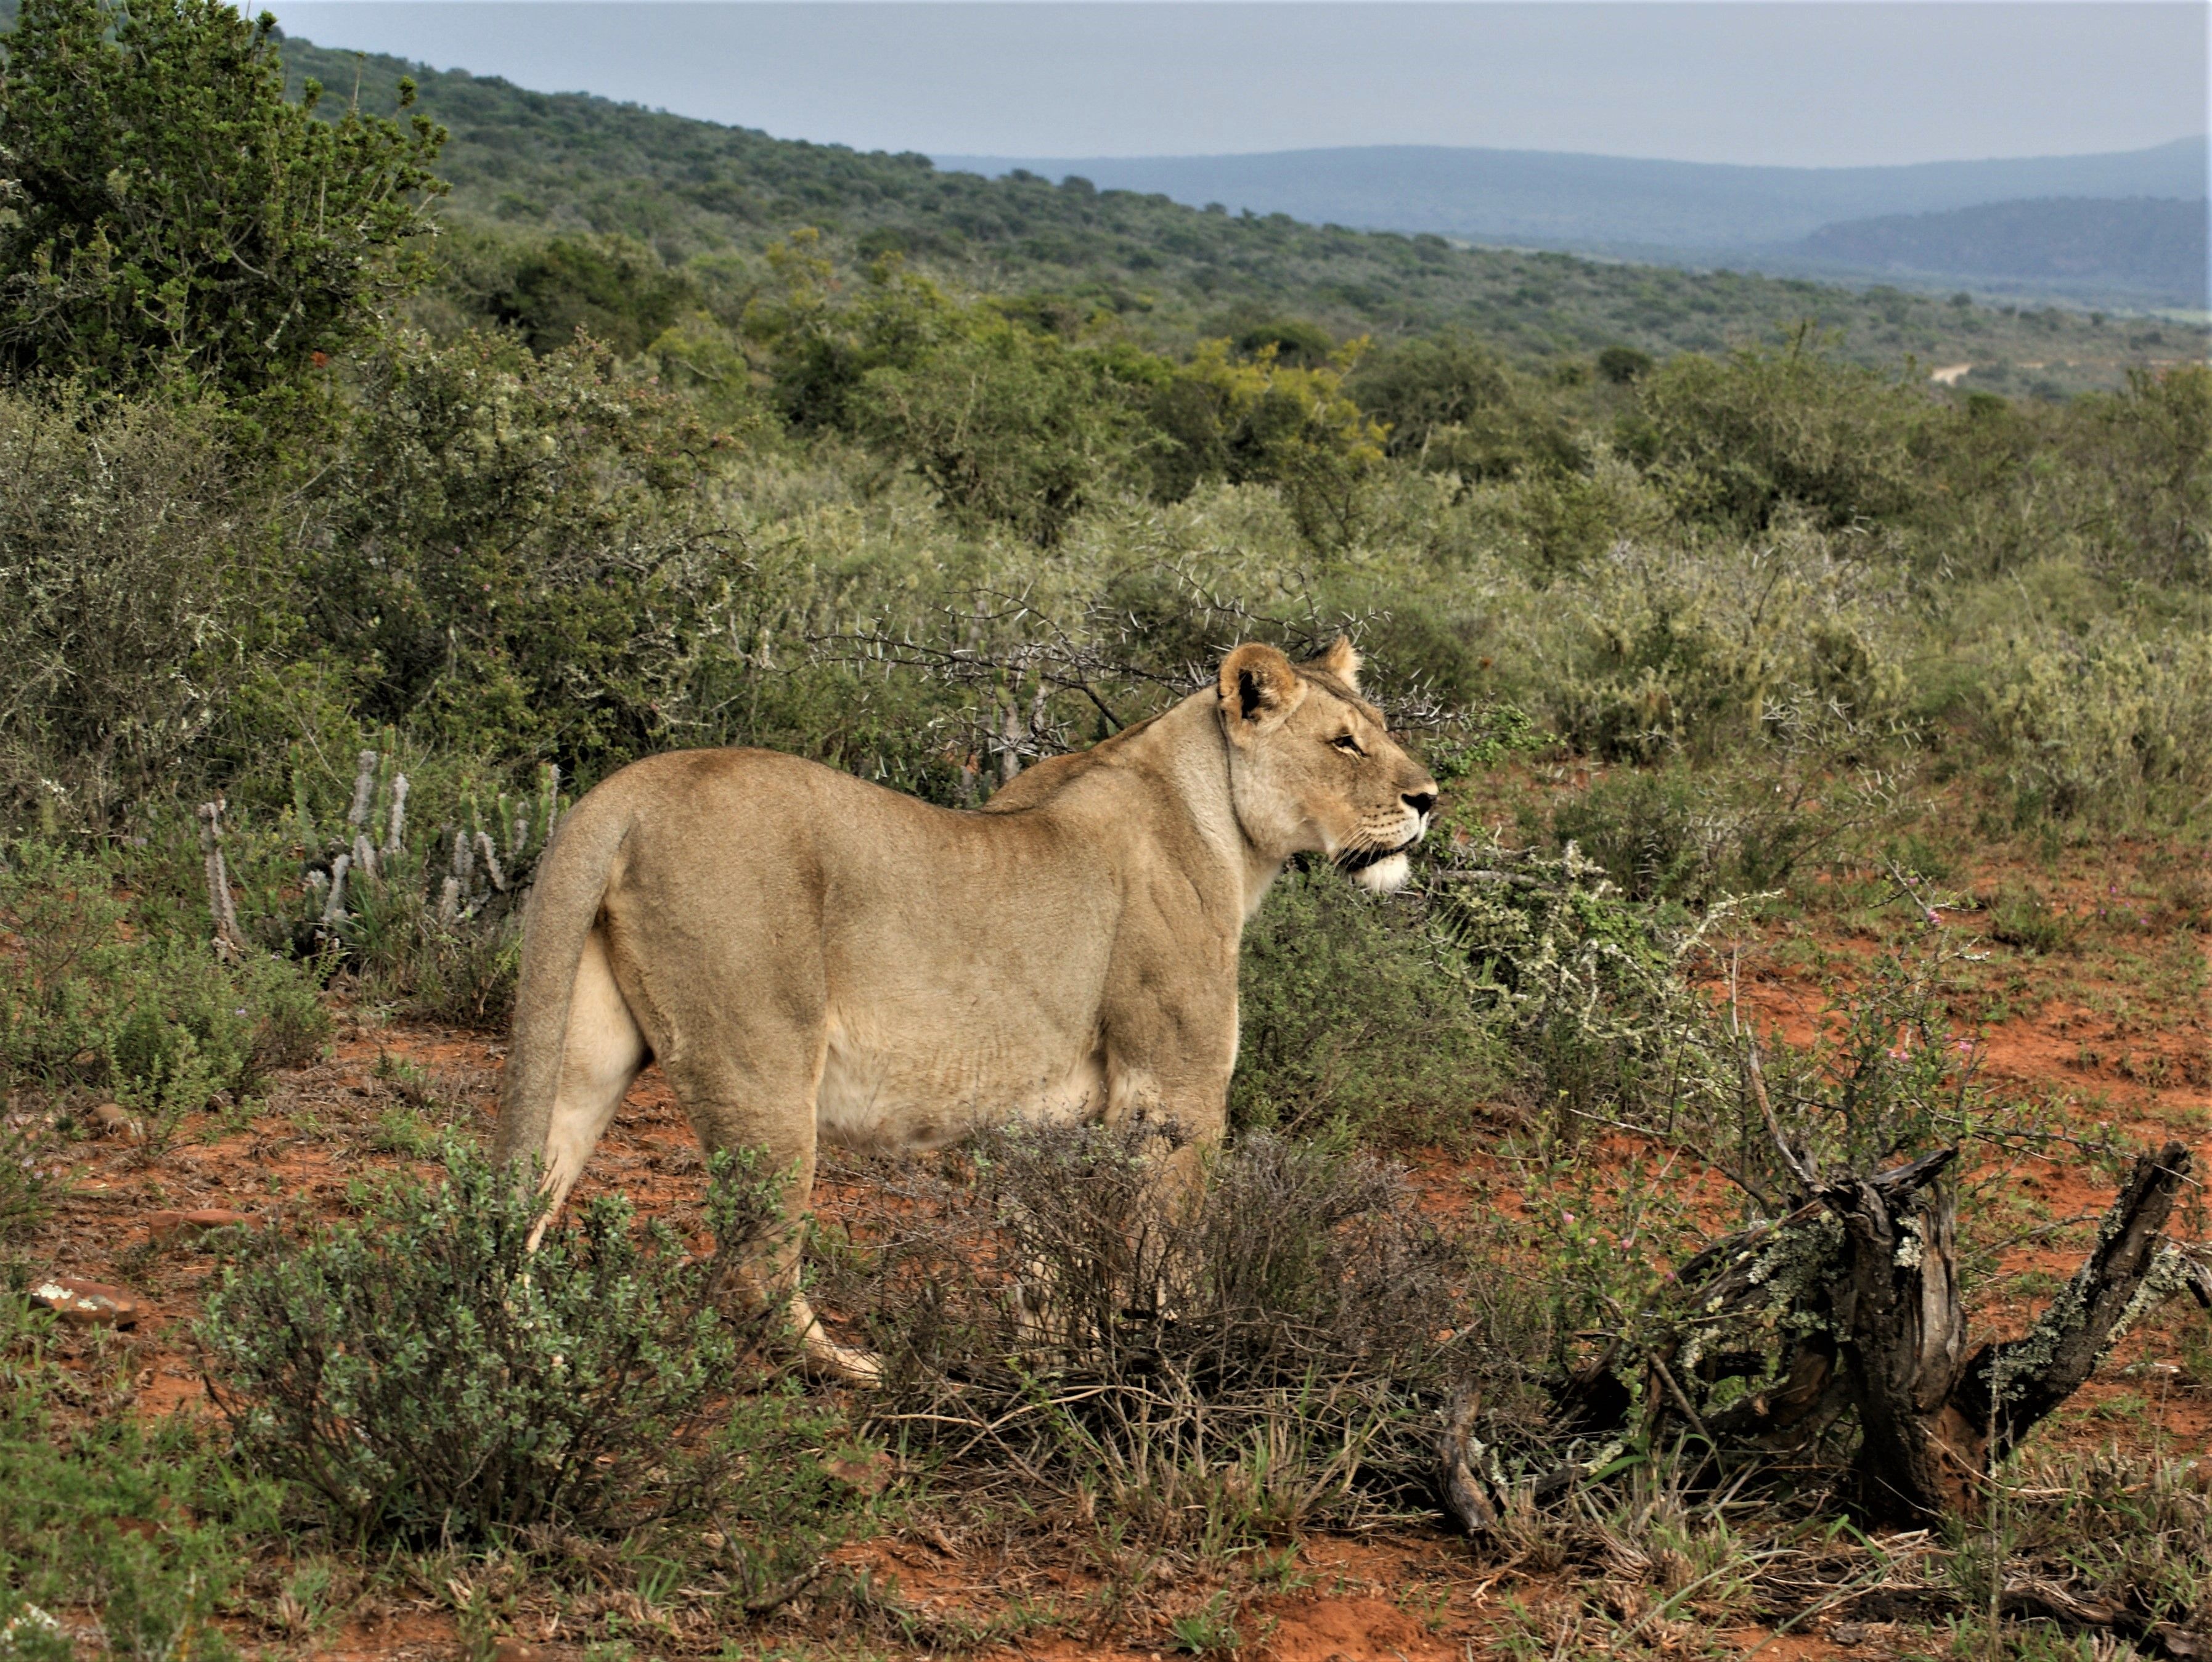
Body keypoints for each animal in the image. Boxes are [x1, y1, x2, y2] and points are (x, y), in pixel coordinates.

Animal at [491, 638, 1439, 1378]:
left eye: (1382, 728)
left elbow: (1048, 1262)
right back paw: (854, 1371)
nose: (1430, 799)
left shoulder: (1048, 1120)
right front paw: (1191, 1357)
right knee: (752, 1267)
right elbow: (1169, 1246)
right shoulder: (1174, 1086)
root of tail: (629, 789)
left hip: (586, 1050)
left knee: (518, 1204)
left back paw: (531, 1357)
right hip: (763, 1064)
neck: (1222, 826)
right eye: (1345, 743)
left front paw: (1057, 1366)